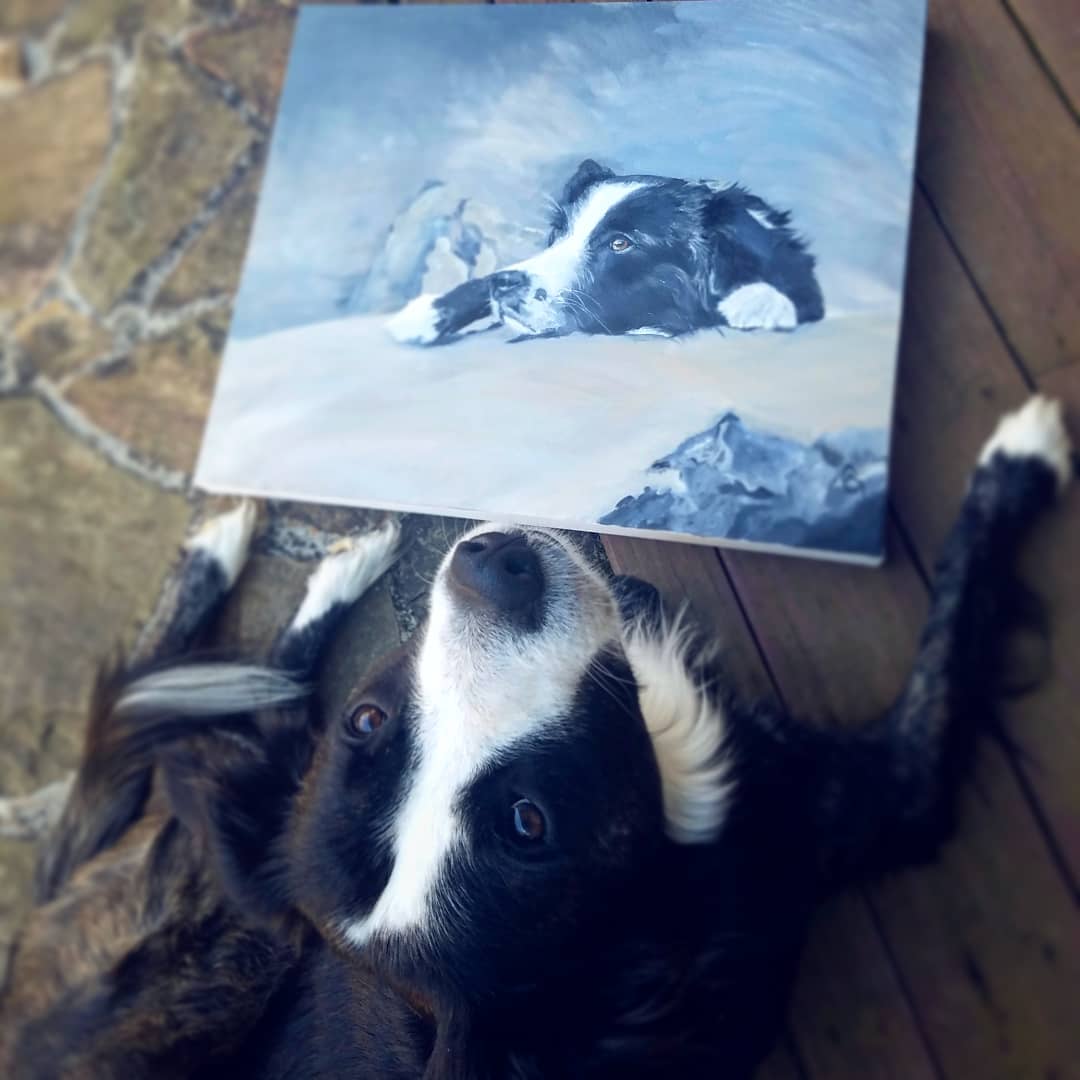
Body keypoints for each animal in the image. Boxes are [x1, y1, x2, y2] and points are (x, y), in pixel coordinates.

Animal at [0, 399, 1067, 1080]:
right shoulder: (861, 802)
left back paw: (305, 561)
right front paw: (1029, 453)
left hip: (251, 885)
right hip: (217, 958)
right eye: (528, 823)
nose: (494, 567)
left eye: (370, 722)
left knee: (246, 715)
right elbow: (957, 625)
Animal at [388, 157, 825, 345]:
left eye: (620, 243)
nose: (505, 284)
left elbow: (797, 288)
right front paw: (428, 312)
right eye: (557, 234)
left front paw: (758, 300)